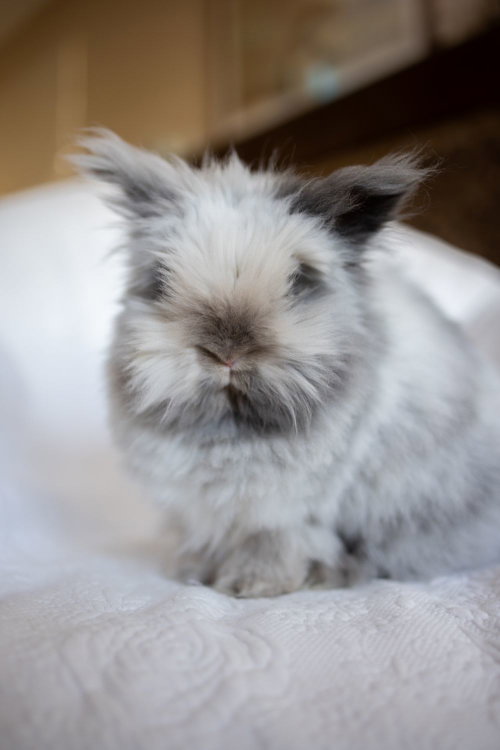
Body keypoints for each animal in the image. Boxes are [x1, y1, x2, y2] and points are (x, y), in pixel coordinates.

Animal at [75, 130, 500, 597]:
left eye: (299, 280)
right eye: (162, 280)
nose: (226, 353)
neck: (231, 431)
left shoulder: (286, 512)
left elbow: (274, 543)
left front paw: (251, 585)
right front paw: (190, 571)